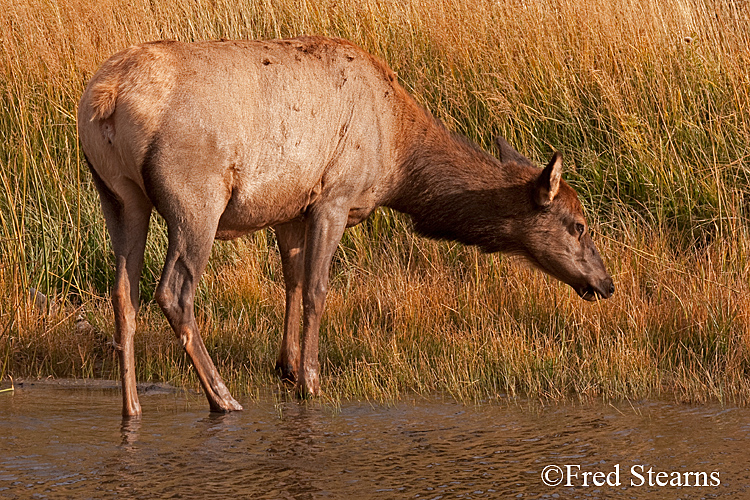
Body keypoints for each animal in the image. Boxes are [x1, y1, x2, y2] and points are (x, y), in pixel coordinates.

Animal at [78, 37, 616, 416]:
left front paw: (287, 367)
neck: (398, 158)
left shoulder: (291, 208)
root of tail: (106, 99)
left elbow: (292, 282)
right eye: (578, 225)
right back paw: (223, 398)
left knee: (122, 293)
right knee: (173, 292)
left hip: (117, 196)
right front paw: (311, 381)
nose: (606, 283)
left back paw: (132, 406)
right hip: (196, 197)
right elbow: (318, 290)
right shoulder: (334, 198)